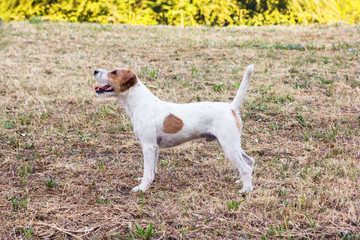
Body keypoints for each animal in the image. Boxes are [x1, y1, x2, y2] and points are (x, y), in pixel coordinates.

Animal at [93, 65, 256, 193]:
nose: (95, 71)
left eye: (114, 72)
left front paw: (142, 188)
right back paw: (243, 182)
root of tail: (231, 107)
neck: (140, 103)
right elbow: (152, 169)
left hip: (229, 146)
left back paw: (246, 189)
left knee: (245, 168)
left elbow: (147, 170)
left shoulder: (148, 146)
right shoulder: (155, 147)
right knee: (249, 161)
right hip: (230, 144)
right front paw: (149, 181)